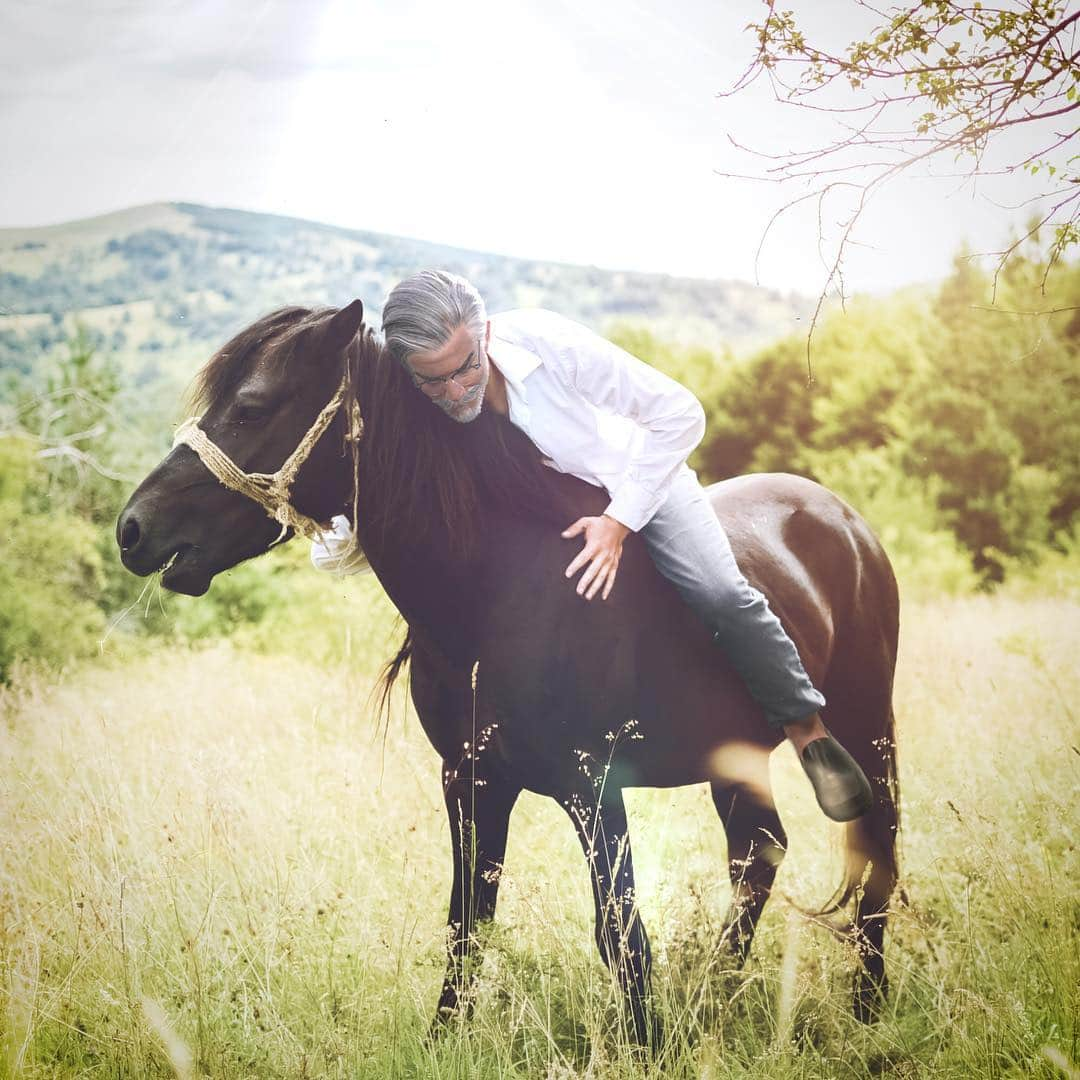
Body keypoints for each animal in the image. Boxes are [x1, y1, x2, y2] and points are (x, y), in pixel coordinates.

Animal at [116, 300, 902, 1049]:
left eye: (250, 406)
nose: (132, 529)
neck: (499, 588)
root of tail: (845, 519)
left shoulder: (594, 785)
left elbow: (620, 934)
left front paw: (649, 1048)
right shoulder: (471, 780)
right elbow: (468, 923)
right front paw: (442, 1042)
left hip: (867, 730)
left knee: (873, 855)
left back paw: (866, 1010)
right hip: (733, 760)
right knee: (757, 855)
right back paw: (717, 996)